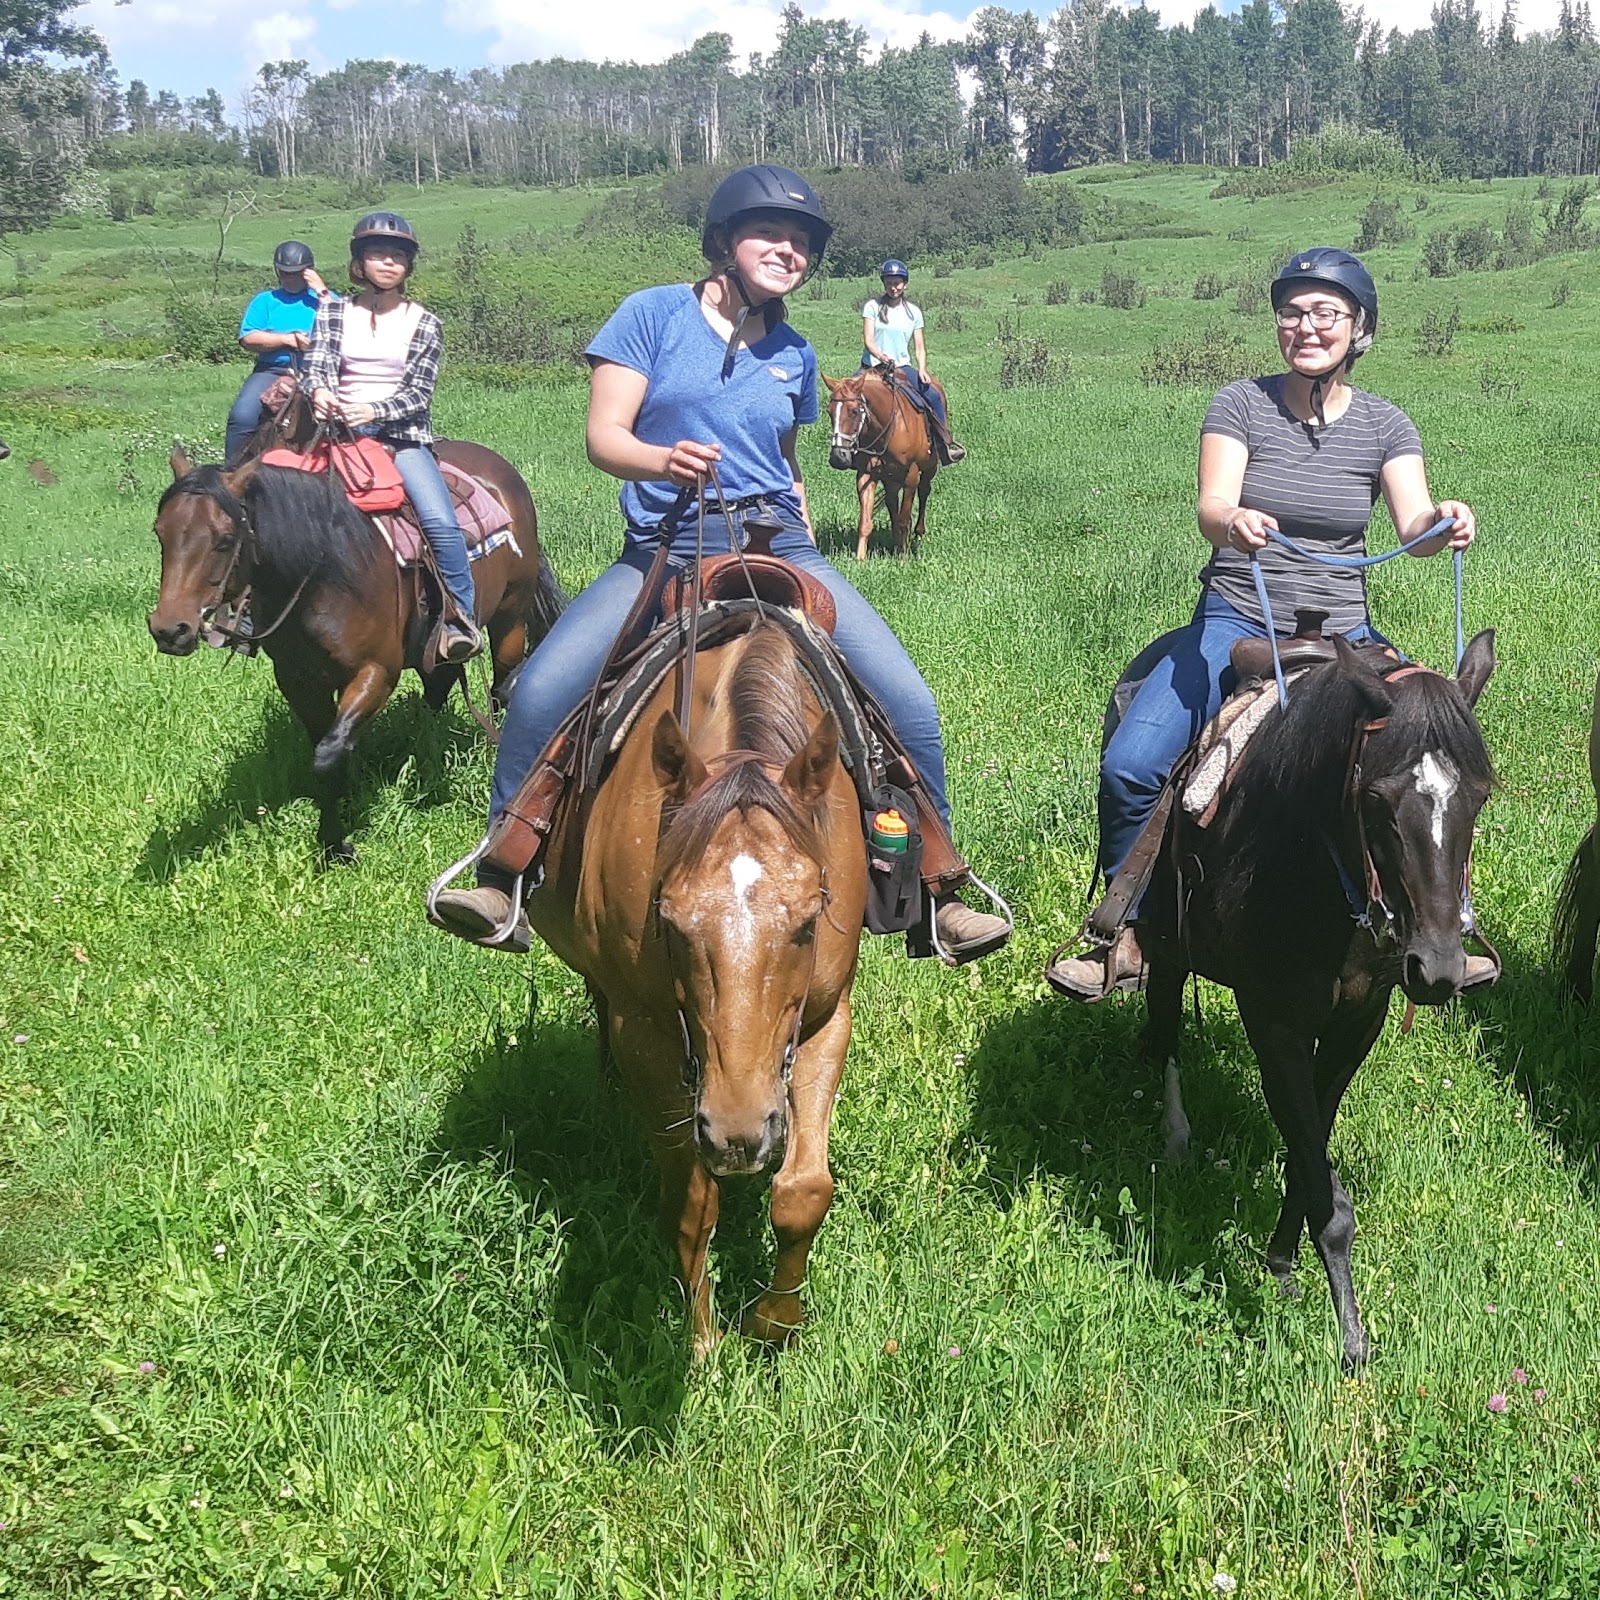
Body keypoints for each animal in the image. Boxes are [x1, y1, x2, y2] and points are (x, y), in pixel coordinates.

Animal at [144, 428, 566, 864]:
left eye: (226, 540)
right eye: (160, 531)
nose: (169, 630)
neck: (323, 573)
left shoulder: (375, 671)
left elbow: (328, 755)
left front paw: (336, 845)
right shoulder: (297, 680)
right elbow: (324, 750)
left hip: (510, 618)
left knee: (502, 686)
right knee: (441, 682)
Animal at [524, 617, 870, 1356]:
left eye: (808, 923)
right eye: (671, 919)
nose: (739, 1136)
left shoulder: (827, 1018)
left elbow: (803, 1191)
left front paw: (774, 1324)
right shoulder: (645, 1034)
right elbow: (690, 1207)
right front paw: (704, 1349)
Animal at [819, 366, 940, 566]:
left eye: (853, 412)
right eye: (829, 412)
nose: (838, 457)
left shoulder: (911, 475)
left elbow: (904, 519)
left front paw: (903, 559)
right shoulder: (867, 474)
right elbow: (866, 521)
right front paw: (860, 558)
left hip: (929, 468)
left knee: (924, 492)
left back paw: (918, 533)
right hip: (890, 477)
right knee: (892, 501)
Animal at [1132, 630, 1491, 1369]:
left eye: (1477, 799)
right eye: (1378, 800)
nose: (1438, 969)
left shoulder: (1358, 1022)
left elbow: (1309, 1152)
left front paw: (1282, 1263)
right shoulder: (1274, 1023)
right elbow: (1318, 1172)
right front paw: (1351, 1337)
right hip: (1165, 943)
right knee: (1166, 1023)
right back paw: (1176, 1134)